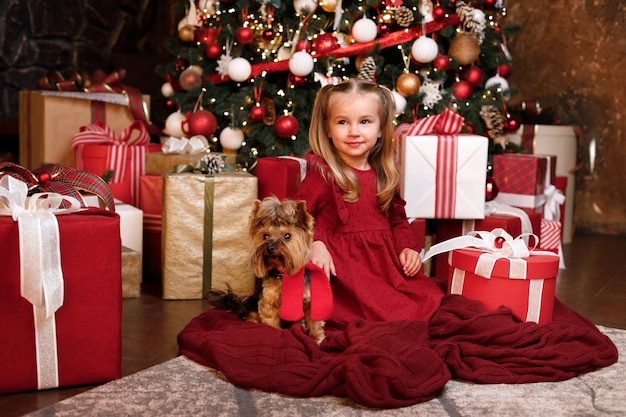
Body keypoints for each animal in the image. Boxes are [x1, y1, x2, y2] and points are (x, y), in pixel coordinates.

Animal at [205, 197, 332, 342]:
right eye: (265, 236)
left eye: (287, 236)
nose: (270, 248)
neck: (282, 274)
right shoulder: (268, 302)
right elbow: (271, 321)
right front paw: (274, 333)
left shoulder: (309, 301)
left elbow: (313, 320)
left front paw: (316, 338)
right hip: (251, 304)